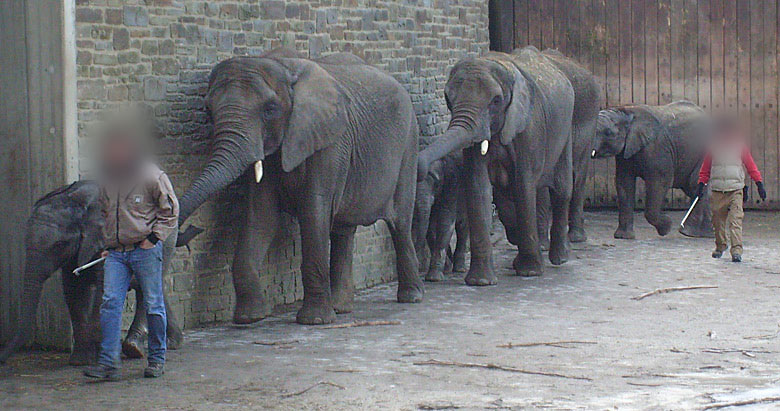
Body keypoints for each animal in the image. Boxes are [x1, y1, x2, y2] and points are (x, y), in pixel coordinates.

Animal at [0, 182, 184, 366]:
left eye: (59, 245)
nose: (3, 360)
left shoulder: (103, 239)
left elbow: (103, 290)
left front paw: (98, 356)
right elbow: (73, 291)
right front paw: (80, 360)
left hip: (165, 240)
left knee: (148, 288)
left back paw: (133, 348)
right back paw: (171, 343)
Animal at [176, 49, 424, 326]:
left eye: (270, 109)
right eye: (208, 110)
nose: (190, 230)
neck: (282, 65)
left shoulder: (329, 142)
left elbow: (314, 210)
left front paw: (314, 321)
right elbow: (260, 214)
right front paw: (250, 318)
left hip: (409, 144)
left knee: (400, 223)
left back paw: (410, 297)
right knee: (343, 229)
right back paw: (341, 307)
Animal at [418, 45, 576, 284]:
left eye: (496, 101)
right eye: (448, 98)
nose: (420, 166)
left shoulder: (529, 126)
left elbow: (523, 185)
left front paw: (530, 272)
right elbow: (479, 188)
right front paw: (481, 281)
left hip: (565, 131)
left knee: (561, 189)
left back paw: (559, 258)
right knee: (508, 201)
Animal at [592, 100, 712, 240]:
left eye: (608, 133)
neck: (626, 111)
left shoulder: (657, 147)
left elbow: (661, 181)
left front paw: (666, 228)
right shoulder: (625, 153)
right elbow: (624, 183)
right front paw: (623, 237)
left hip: (705, 154)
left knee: (695, 185)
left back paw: (688, 233)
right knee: (693, 189)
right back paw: (704, 234)